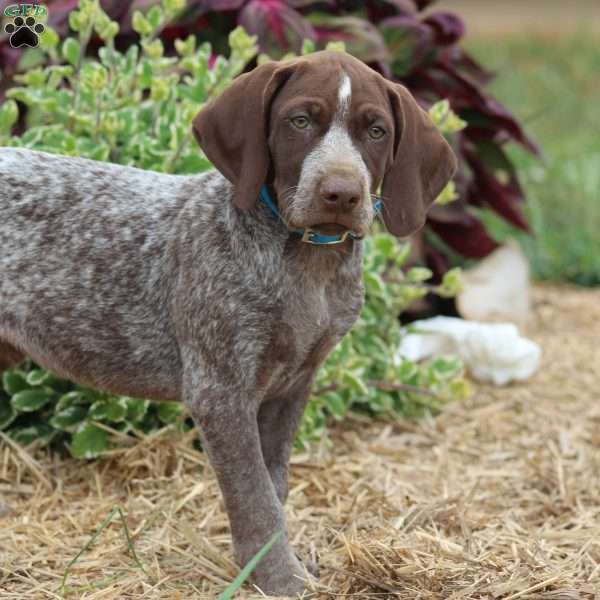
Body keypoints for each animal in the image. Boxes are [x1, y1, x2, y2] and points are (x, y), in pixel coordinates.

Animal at [0, 51, 454, 596]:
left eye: (377, 131)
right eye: (299, 122)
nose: (341, 193)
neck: (306, 263)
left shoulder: (291, 387)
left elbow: (273, 485)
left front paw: (268, 566)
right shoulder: (220, 391)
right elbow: (255, 496)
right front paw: (281, 579)